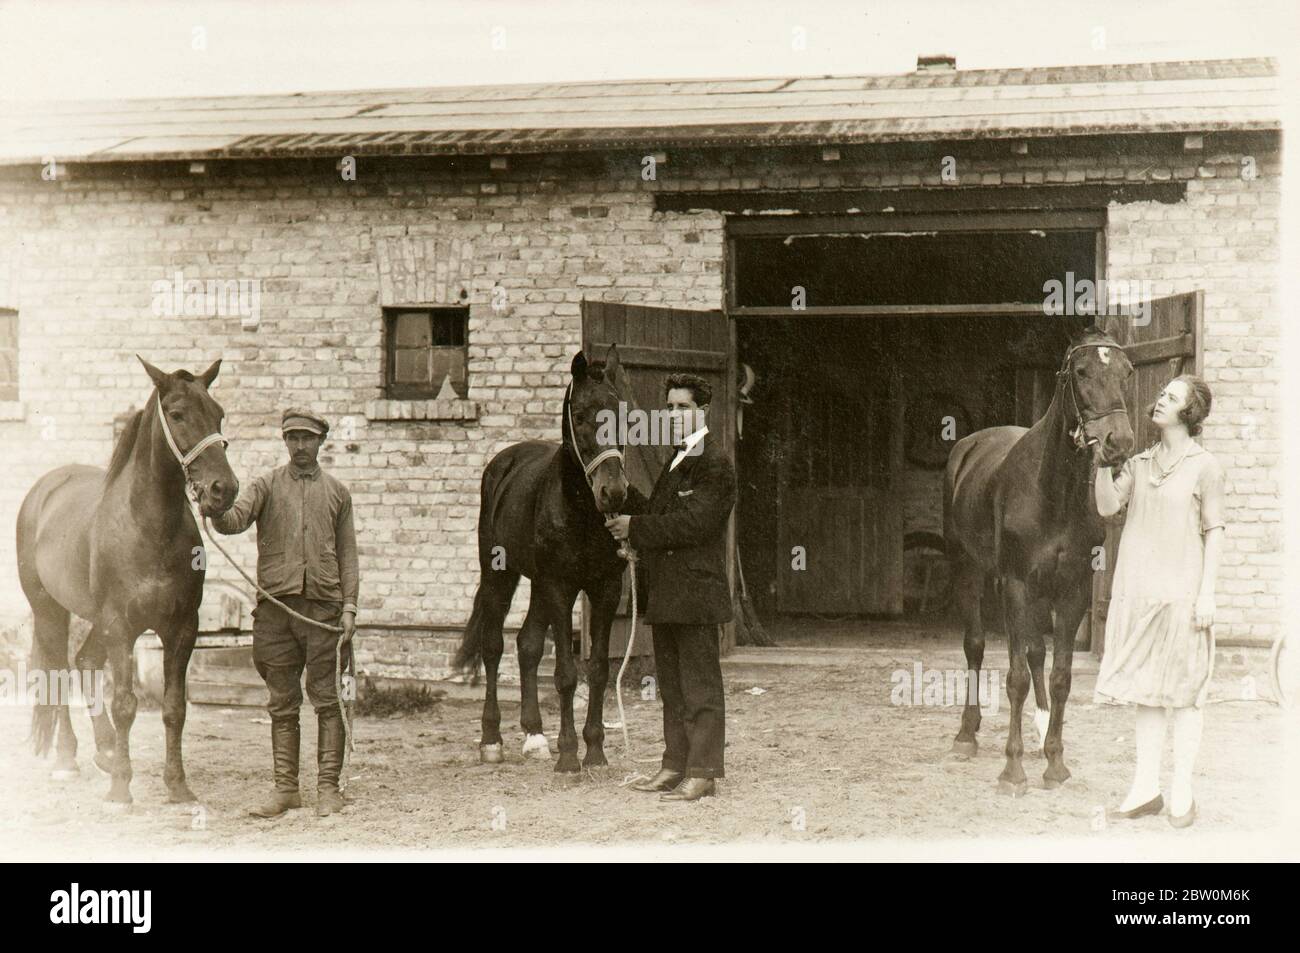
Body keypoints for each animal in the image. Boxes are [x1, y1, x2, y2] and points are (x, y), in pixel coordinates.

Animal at [17, 361, 237, 806]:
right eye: (177, 414)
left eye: (219, 413)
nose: (223, 489)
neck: (149, 527)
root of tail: (43, 490)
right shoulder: (120, 627)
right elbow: (124, 704)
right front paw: (121, 787)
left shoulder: (181, 629)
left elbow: (174, 709)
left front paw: (177, 785)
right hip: (49, 609)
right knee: (59, 671)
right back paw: (68, 759)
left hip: (95, 620)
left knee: (84, 661)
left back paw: (102, 750)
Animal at [457, 348, 634, 774]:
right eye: (581, 415)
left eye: (622, 414)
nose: (613, 492)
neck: (582, 512)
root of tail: (503, 463)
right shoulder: (560, 586)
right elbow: (566, 674)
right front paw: (569, 756)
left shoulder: (604, 589)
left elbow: (598, 670)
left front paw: (596, 752)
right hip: (500, 575)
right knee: (494, 646)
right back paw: (492, 740)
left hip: (538, 583)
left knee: (528, 644)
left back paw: (535, 736)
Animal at [946, 327, 1138, 795]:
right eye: (1081, 372)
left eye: (1126, 371)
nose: (1119, 443)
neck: (1052, 490)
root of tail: (968, 446)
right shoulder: (1015, 584)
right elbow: (1013, 676)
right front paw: (1012, 771)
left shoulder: (1072, 590)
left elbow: (1061, 675)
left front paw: (1054, 762)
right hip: (971, 570)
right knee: (976, 646)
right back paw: (966, 734)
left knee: (1036, 653)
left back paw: (1039, 727)